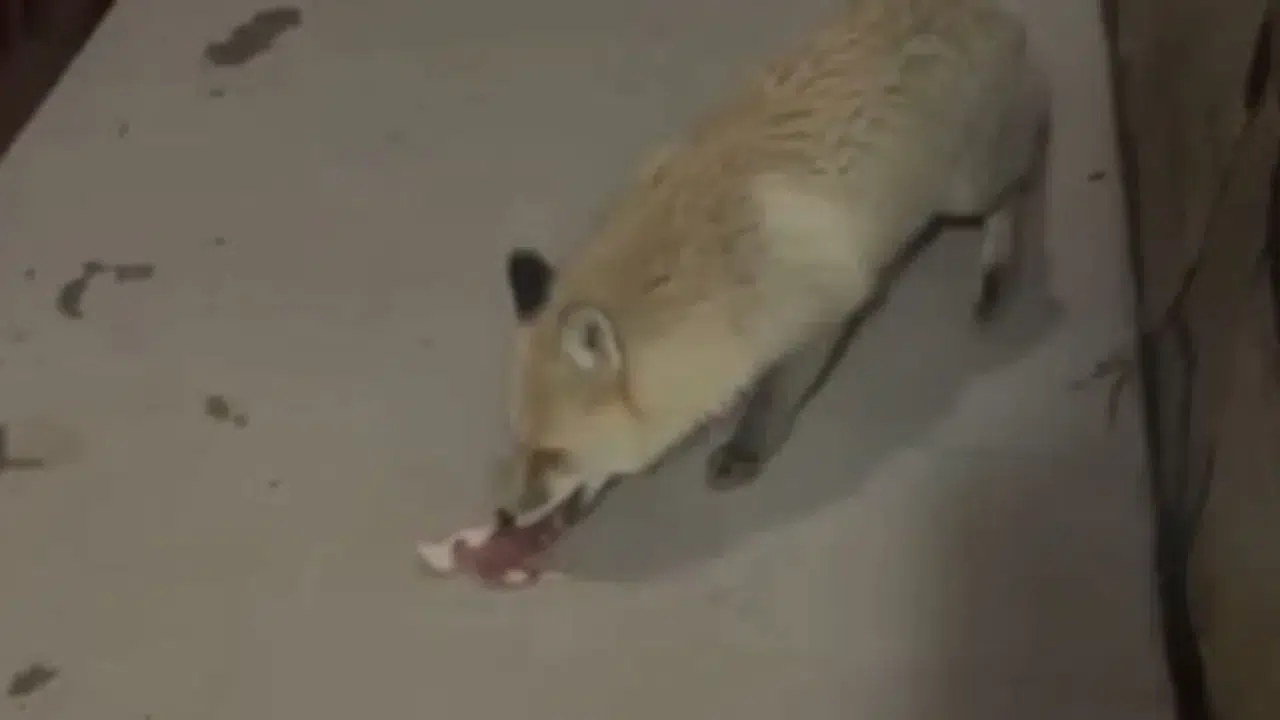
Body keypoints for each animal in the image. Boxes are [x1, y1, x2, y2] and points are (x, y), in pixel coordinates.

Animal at [493, 0, 1050, 522]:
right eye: (518, 444)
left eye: (554, 456)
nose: (505, 514)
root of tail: (985, 11)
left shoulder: (818, 314)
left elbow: (773, 399)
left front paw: (746, 450)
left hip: (966, 192)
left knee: (1022, 177)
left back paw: (999, 270)